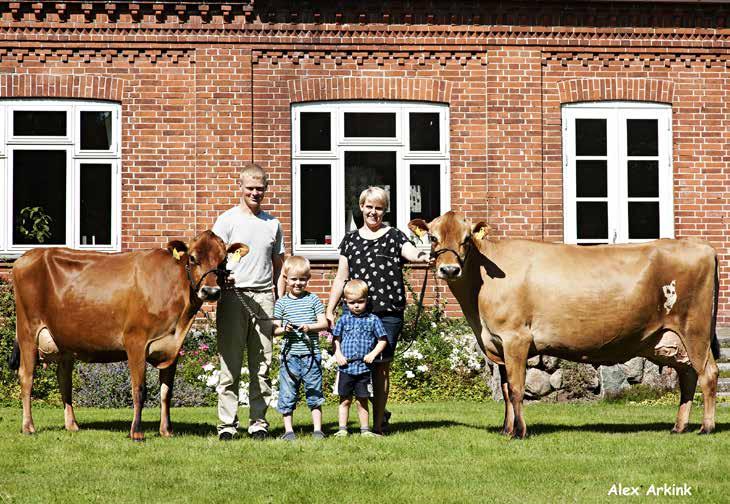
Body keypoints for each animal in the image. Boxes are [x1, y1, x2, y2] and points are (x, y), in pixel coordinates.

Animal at [10, 230, 247, 440]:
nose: (211, 292)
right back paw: (28, 427)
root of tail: (29, 255)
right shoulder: (135, 341)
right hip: (27, 330)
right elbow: (139, 389)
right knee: (26, 377)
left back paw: (72, 425)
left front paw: (166, 431)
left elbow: (166, 392)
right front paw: (136, 432)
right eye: (193, 258)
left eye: (224, 261)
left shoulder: (173, 348)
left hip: (65, 340)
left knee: (64, 379)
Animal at [406, 213, 720, 438]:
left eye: (467, 239)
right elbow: (505, 390)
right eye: (432, 237)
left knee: (708, 373)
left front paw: (519, 432)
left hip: (695, 330)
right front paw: (506, 429)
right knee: (687, 376)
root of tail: (701, 246)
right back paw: (679, 427)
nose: (449, 269)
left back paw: (706, 427)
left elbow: (517, 388)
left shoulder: (515, 338)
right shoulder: (497, 343)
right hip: (668, 339)